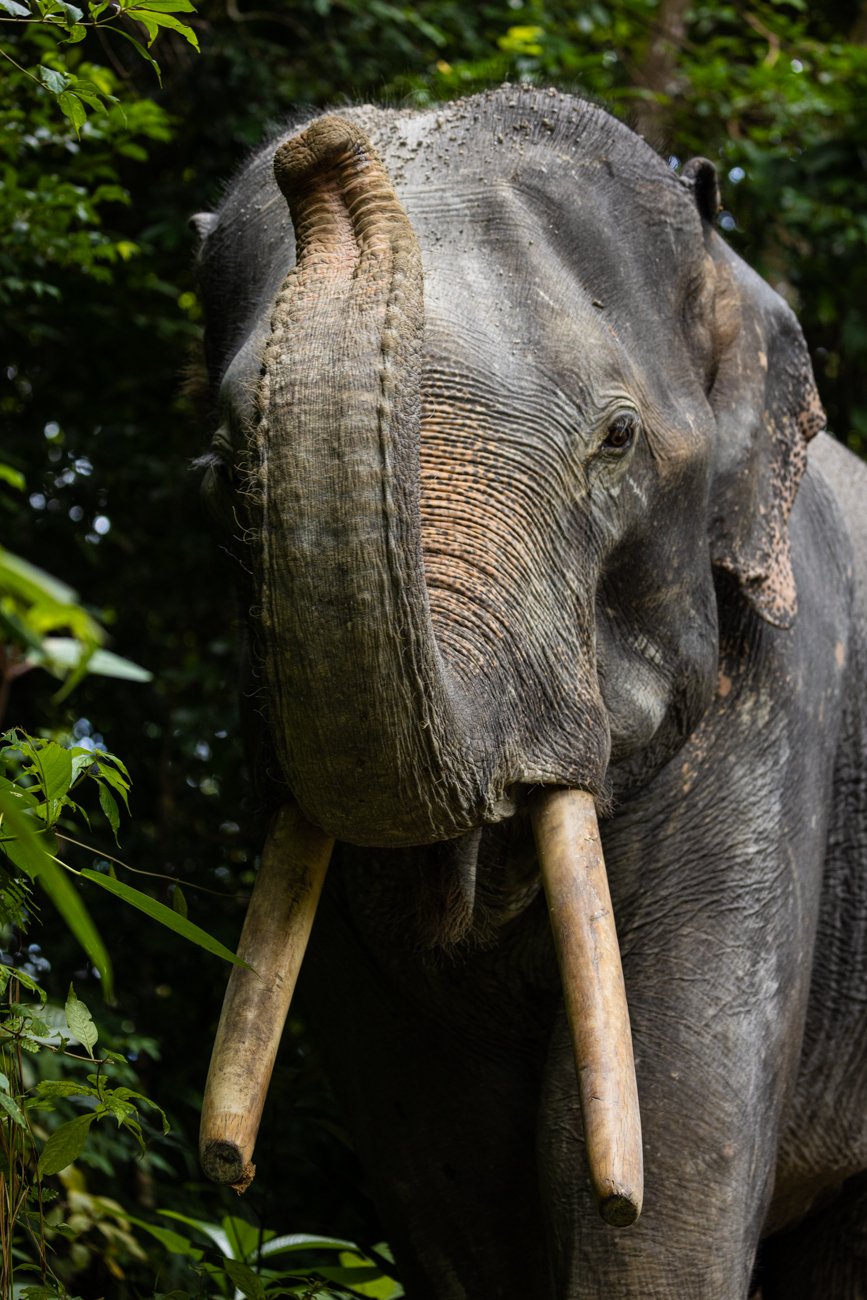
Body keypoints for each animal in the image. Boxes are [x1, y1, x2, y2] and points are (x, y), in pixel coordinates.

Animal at [191, 89, 867, 1300]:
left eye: (618, 439)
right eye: (222, 473)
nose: (320, 147)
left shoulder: (777, 720)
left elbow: (661, 1195)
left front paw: (627, 1199)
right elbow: (449, 1182)